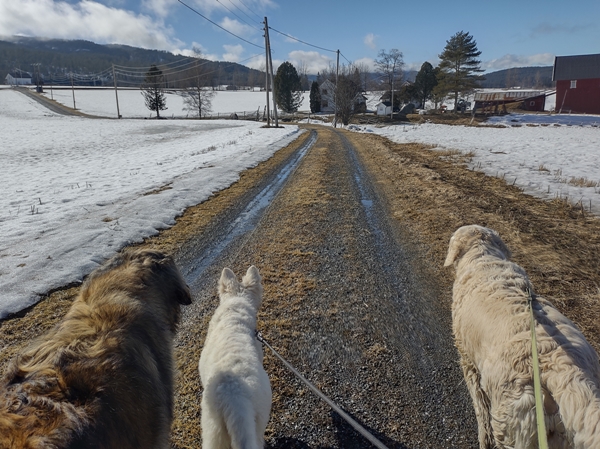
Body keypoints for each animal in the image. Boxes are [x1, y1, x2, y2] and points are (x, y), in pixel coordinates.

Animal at [442, 224, 600, 448]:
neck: (483, 257)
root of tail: (564, 369)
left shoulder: (468, 363)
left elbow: (481, 412)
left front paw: (483, 439)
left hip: (512, 422)